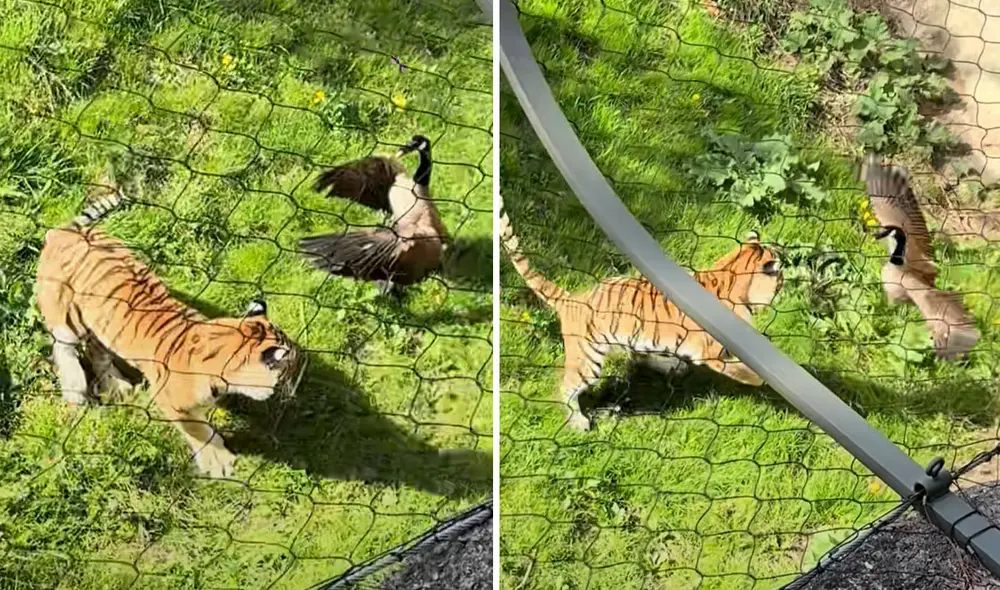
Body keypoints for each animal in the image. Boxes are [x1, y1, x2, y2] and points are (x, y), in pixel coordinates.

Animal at [35, 185, 305, 478]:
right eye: (288, 368)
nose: (295, 386)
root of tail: (65, 229)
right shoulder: (168, 400)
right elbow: (197, 430)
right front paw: (218, 463)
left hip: (100, 320)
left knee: (98, 350)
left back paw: (119, 387)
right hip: (63, 311)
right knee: (64, 347)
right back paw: (75, 393)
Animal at [500, 201, 783, 430]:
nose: (783, 283)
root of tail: (574, 299)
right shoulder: (713, 353)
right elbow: (741, 369)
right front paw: (760, 381)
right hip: (588, 359)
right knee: (566, 384)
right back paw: (578, 422)